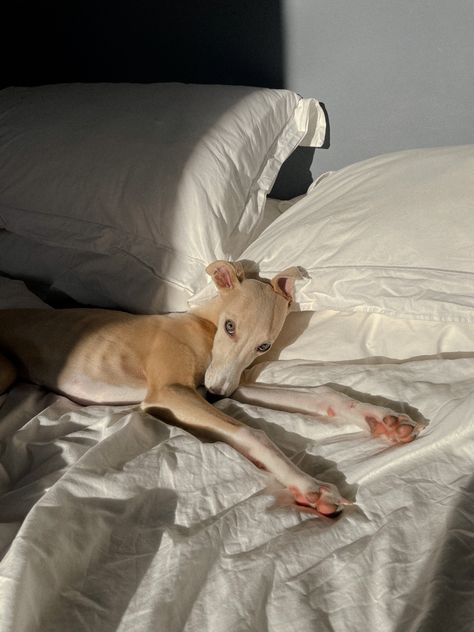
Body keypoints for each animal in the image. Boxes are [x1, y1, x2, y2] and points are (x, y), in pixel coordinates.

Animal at [0, 262, 424, 520]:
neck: (204, 327)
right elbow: (253, 432)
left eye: (264, 345)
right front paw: (311, 486)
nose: (216, 390)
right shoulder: (170, 392)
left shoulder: (233, 384)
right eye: (230, 326)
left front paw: (385, 419)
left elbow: (324, 392)